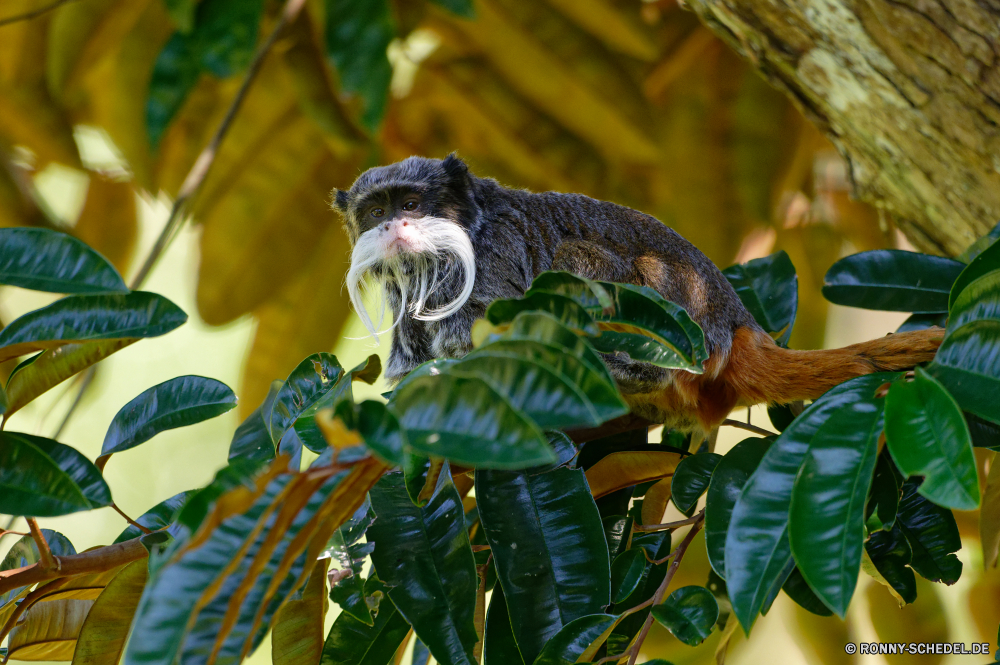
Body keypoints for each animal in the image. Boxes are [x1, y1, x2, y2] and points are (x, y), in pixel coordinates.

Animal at [338, 153, 944, 430]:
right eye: (376, 213)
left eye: (411, 205)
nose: (394, 228)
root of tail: (738, 324)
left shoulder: (494, 252)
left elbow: (485, 325)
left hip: (679, 315)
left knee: (574, 259)